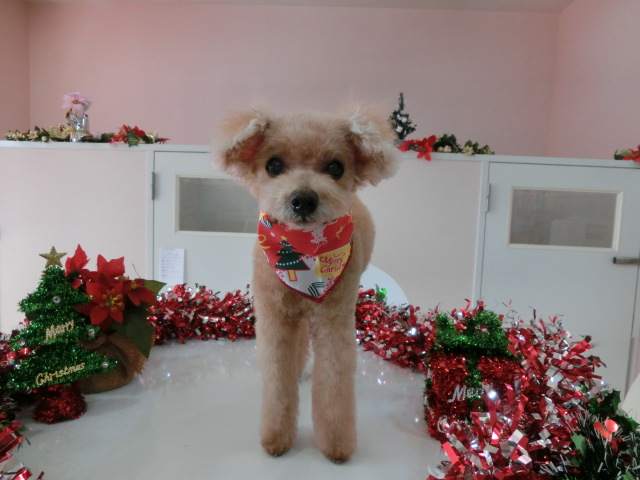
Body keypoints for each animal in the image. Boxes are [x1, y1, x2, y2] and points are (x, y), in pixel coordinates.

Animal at [213, 106, 399, 463]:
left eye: (336, 167)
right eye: (273, 165)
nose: (303, 199)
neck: (307, 250)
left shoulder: (335, 321)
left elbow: (334, 385)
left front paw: (336, 443)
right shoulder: (274, 317)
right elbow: (277, 382)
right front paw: (277, 437)